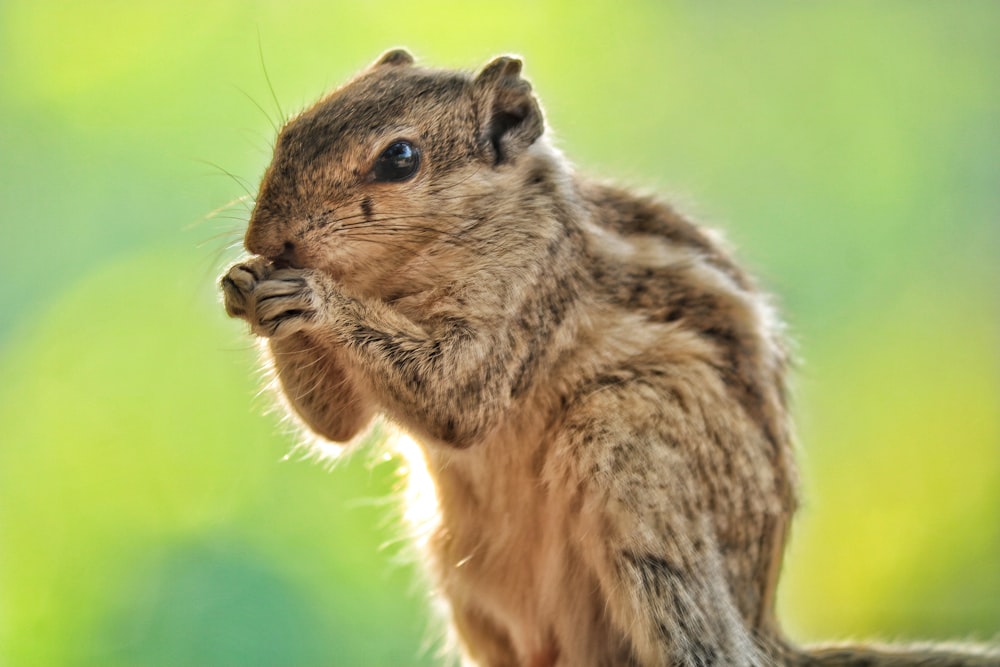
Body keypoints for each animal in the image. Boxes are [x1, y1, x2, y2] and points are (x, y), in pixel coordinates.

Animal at [221, 49, 1000, 664]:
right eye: (291, 129)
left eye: (400, 158)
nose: (266, 236)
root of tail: (761, 627)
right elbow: (338, 426)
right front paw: (245, 283)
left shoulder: (529, 293)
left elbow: (456, 396)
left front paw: (311, 293)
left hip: (631, 454)